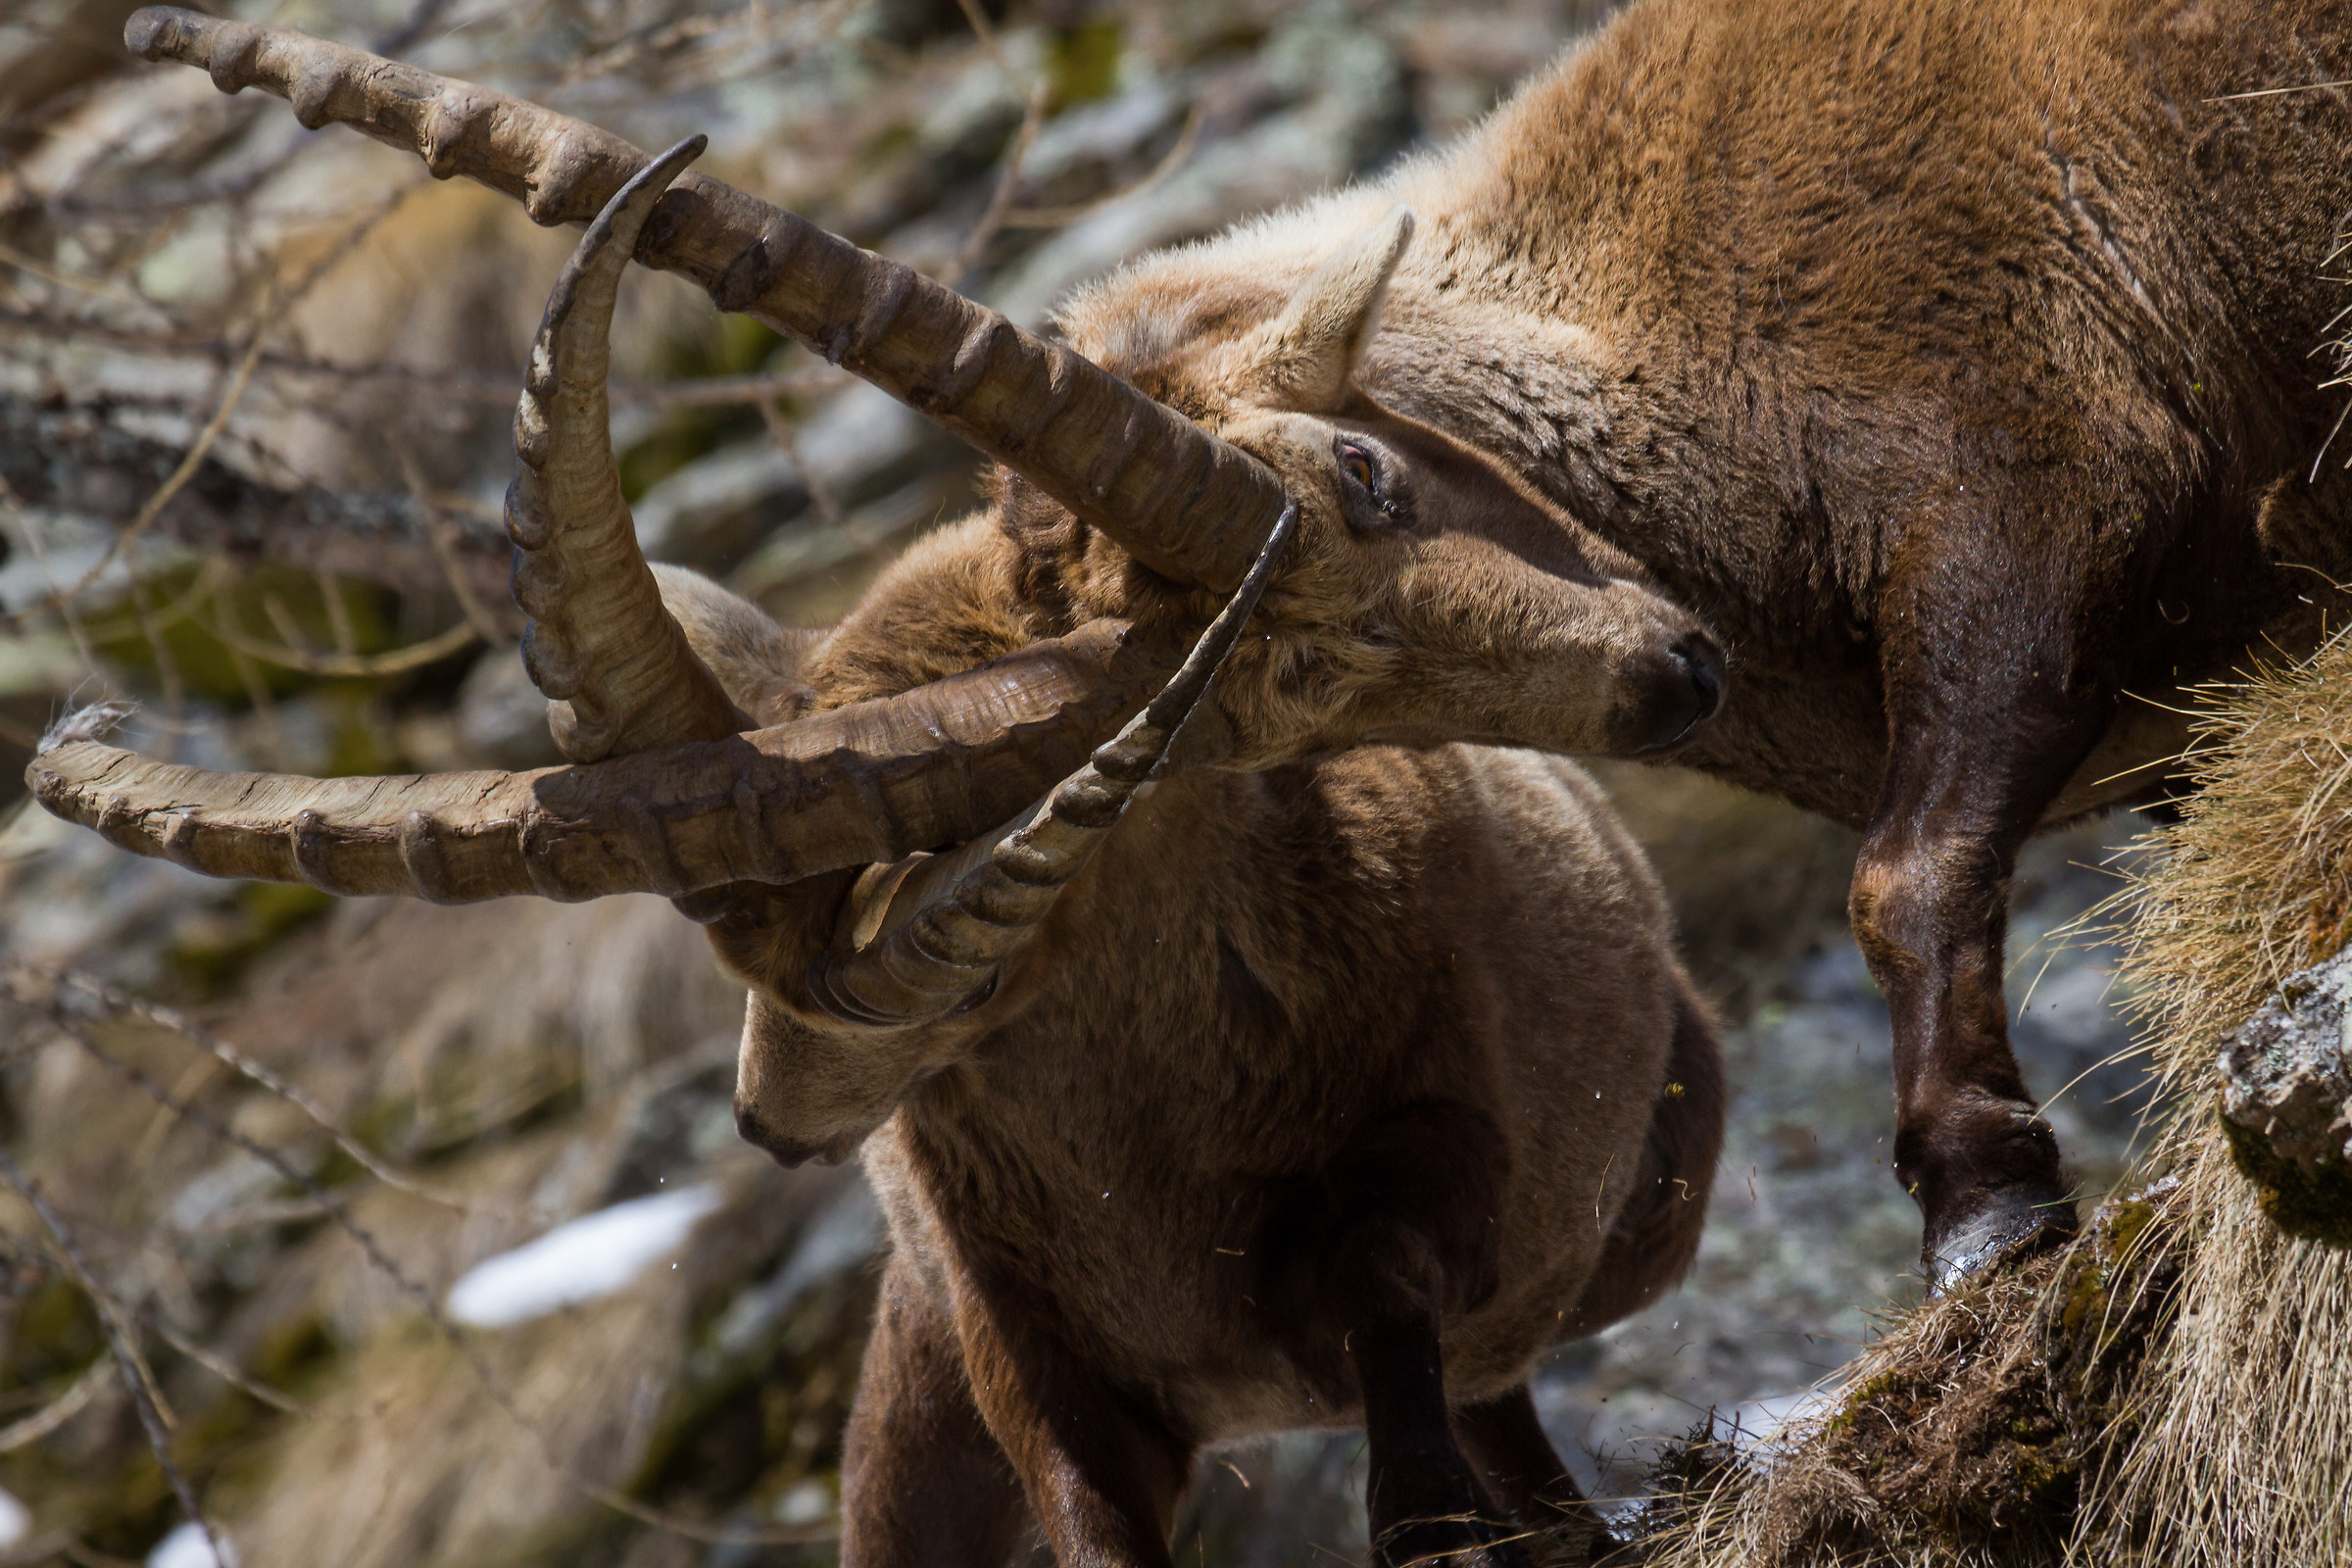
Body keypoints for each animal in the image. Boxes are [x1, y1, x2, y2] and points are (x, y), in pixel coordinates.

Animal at [35, 15, 1736, 1564]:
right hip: (913, 1396)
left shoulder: (1442, 1154)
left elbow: (1395, 1322)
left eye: (1368, 472)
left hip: (1643, 1188)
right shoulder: (1016, 1355)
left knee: (1508, 1406)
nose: (1676, 663)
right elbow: (1100, 1511)